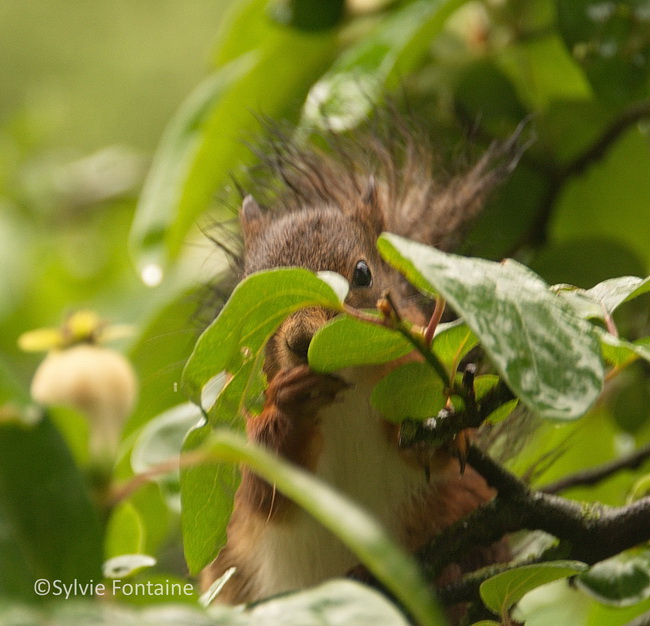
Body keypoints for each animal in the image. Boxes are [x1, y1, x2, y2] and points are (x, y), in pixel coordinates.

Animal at [200, 120, 520, 604]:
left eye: (364, 273)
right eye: (248, 293)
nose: (304, 342)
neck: (345, 399)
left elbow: (438, 457)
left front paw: (446, 426)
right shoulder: (241, 420)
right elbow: (261, 489)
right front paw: (293, 405)